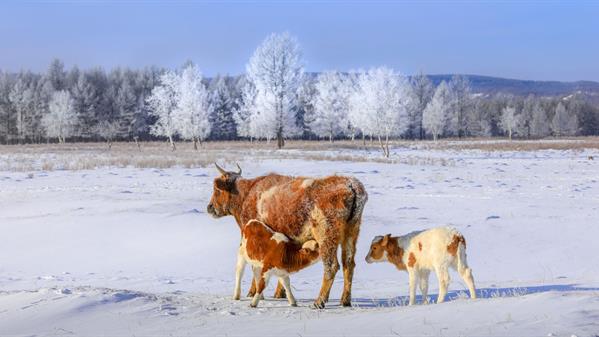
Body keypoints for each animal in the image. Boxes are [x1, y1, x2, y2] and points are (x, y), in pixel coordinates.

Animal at [206, 163, 368, 308]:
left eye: (217, 189)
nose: (209, 207)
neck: (247, 195)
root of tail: (350, 184)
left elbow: (255, 267)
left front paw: (253, 293)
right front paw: (280, 293)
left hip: (326, 237)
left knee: (331, 266)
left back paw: (319, 301)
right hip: (351, 234)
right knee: (348, 264)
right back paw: (345, 300)